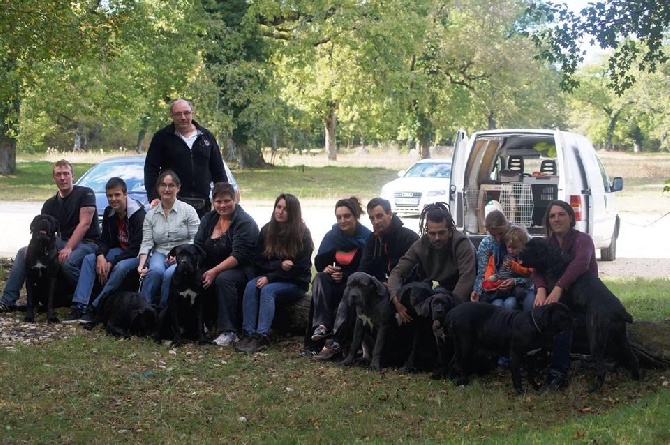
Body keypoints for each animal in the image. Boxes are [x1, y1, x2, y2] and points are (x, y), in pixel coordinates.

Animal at [448, 302, 576, 392]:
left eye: (570, 312)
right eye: (564, 315)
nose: (575, 320)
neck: (535, 325)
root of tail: (452, 312)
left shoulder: (531, 356)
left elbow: (531, 374)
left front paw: (535, 386)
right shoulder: (515, 355)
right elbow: (517, 375)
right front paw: (519, 391)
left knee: (453, 362)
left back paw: (452, 379)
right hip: (465, 345)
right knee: (460, 364)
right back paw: (463, 382)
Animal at [520, 238, 640, 390]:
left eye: (530, 248)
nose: (520, 252)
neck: (552, 260)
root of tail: (619, 311)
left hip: (596, 338)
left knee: (602, 367)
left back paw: (595, 389)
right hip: (620, 337)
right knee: (632, 357)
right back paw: (636, 377)